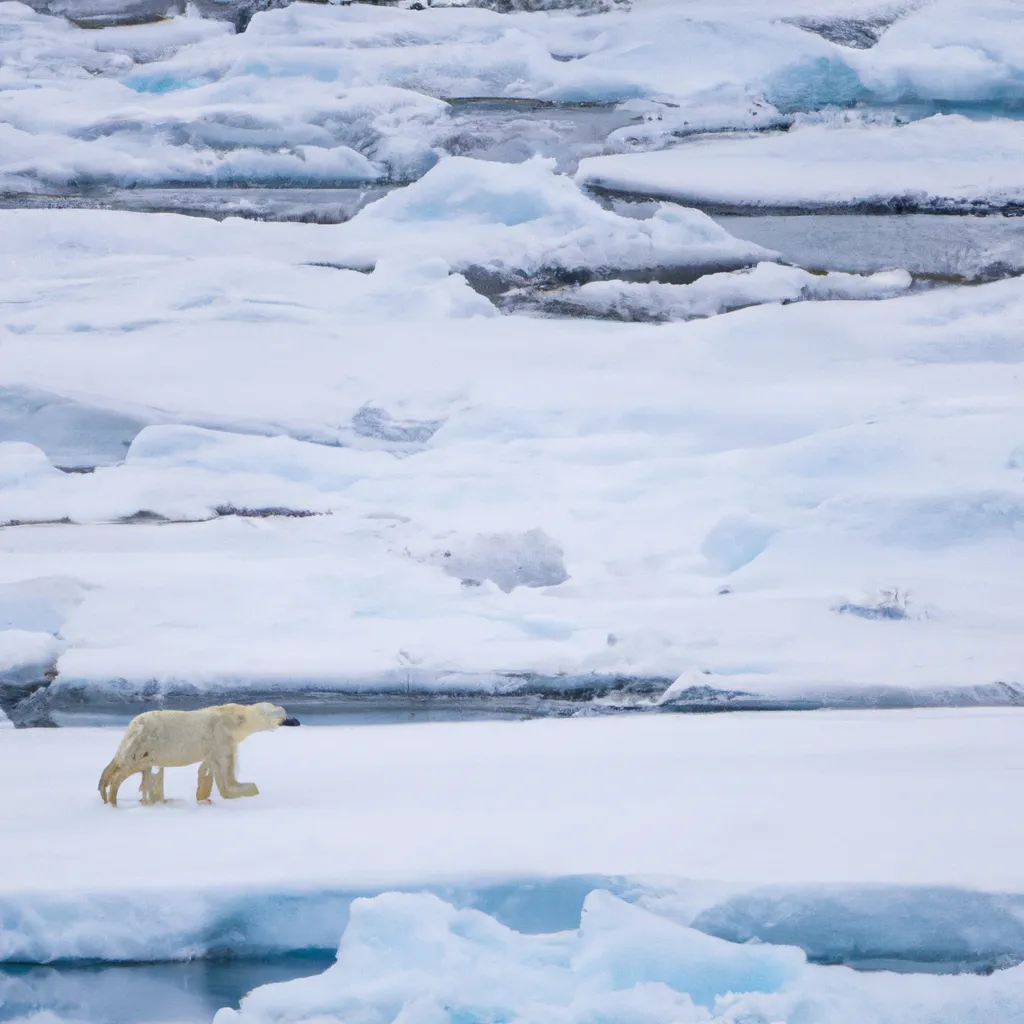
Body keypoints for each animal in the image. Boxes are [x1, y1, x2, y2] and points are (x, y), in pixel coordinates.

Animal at [96, 704, 299, 806]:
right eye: (281, 715)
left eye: (285, 712)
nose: (295, 720)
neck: (235, 717)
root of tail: (132, 725)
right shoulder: (220, 735)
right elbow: (225, 772)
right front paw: (246, 788)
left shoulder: (216, 743)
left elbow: (206, 769)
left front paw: (203, 796)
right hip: (146, 742)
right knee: (126, 768)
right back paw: (112, 798)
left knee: (136, 769)